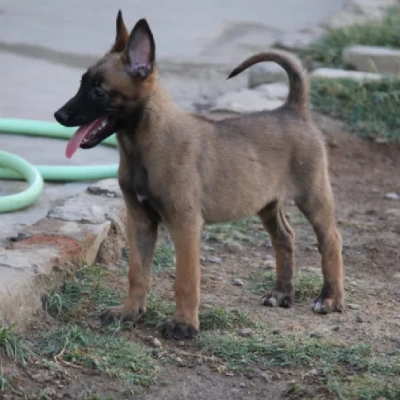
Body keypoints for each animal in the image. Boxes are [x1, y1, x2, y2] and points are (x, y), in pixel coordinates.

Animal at [54, 10, 346, 340]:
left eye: (98, 91)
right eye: (81, 83)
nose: (59, 115)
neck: (145, 144)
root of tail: (293, 109)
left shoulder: (185, 224)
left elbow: (186, 278)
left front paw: (184, 324)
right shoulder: (140, 220)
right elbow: (137, 272)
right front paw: (129, 312)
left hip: (312, 194)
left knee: (331, 239)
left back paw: (330, 298)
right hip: (267, 203)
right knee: (285, 237)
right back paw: (282, 293)